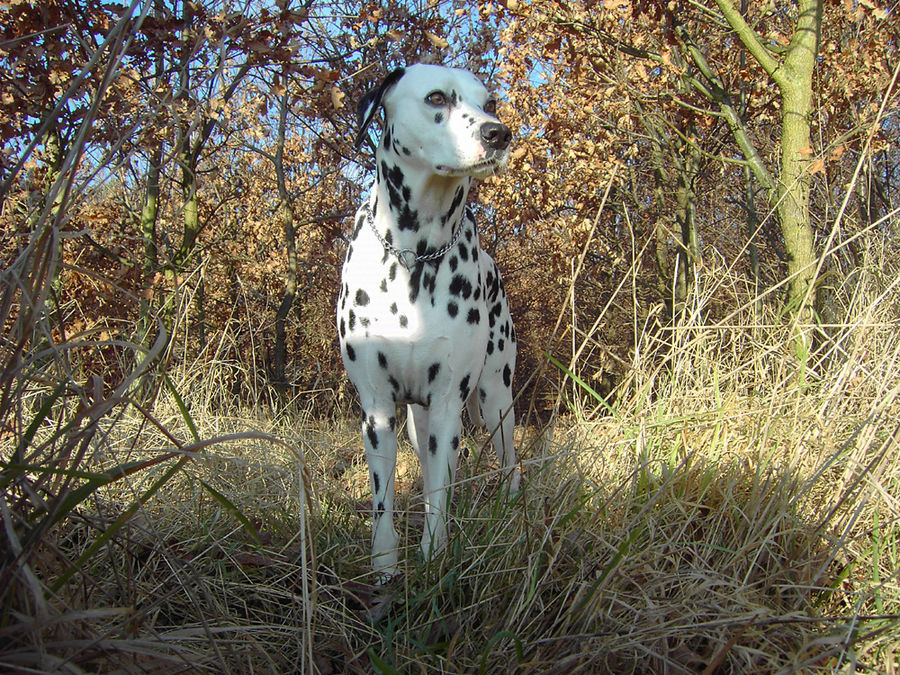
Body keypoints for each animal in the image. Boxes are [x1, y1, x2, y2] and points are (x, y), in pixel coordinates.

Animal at [338, 64, 520, 580]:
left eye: (488, 102)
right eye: (437, 97)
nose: (498, 133)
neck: (414, 255)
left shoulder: (445, 409)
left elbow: (439, 497)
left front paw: (435, 558)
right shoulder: (378, 411)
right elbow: (383, 501)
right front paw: (384, 564)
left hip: (496, 400)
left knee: (511, 462)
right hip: (418, 425)